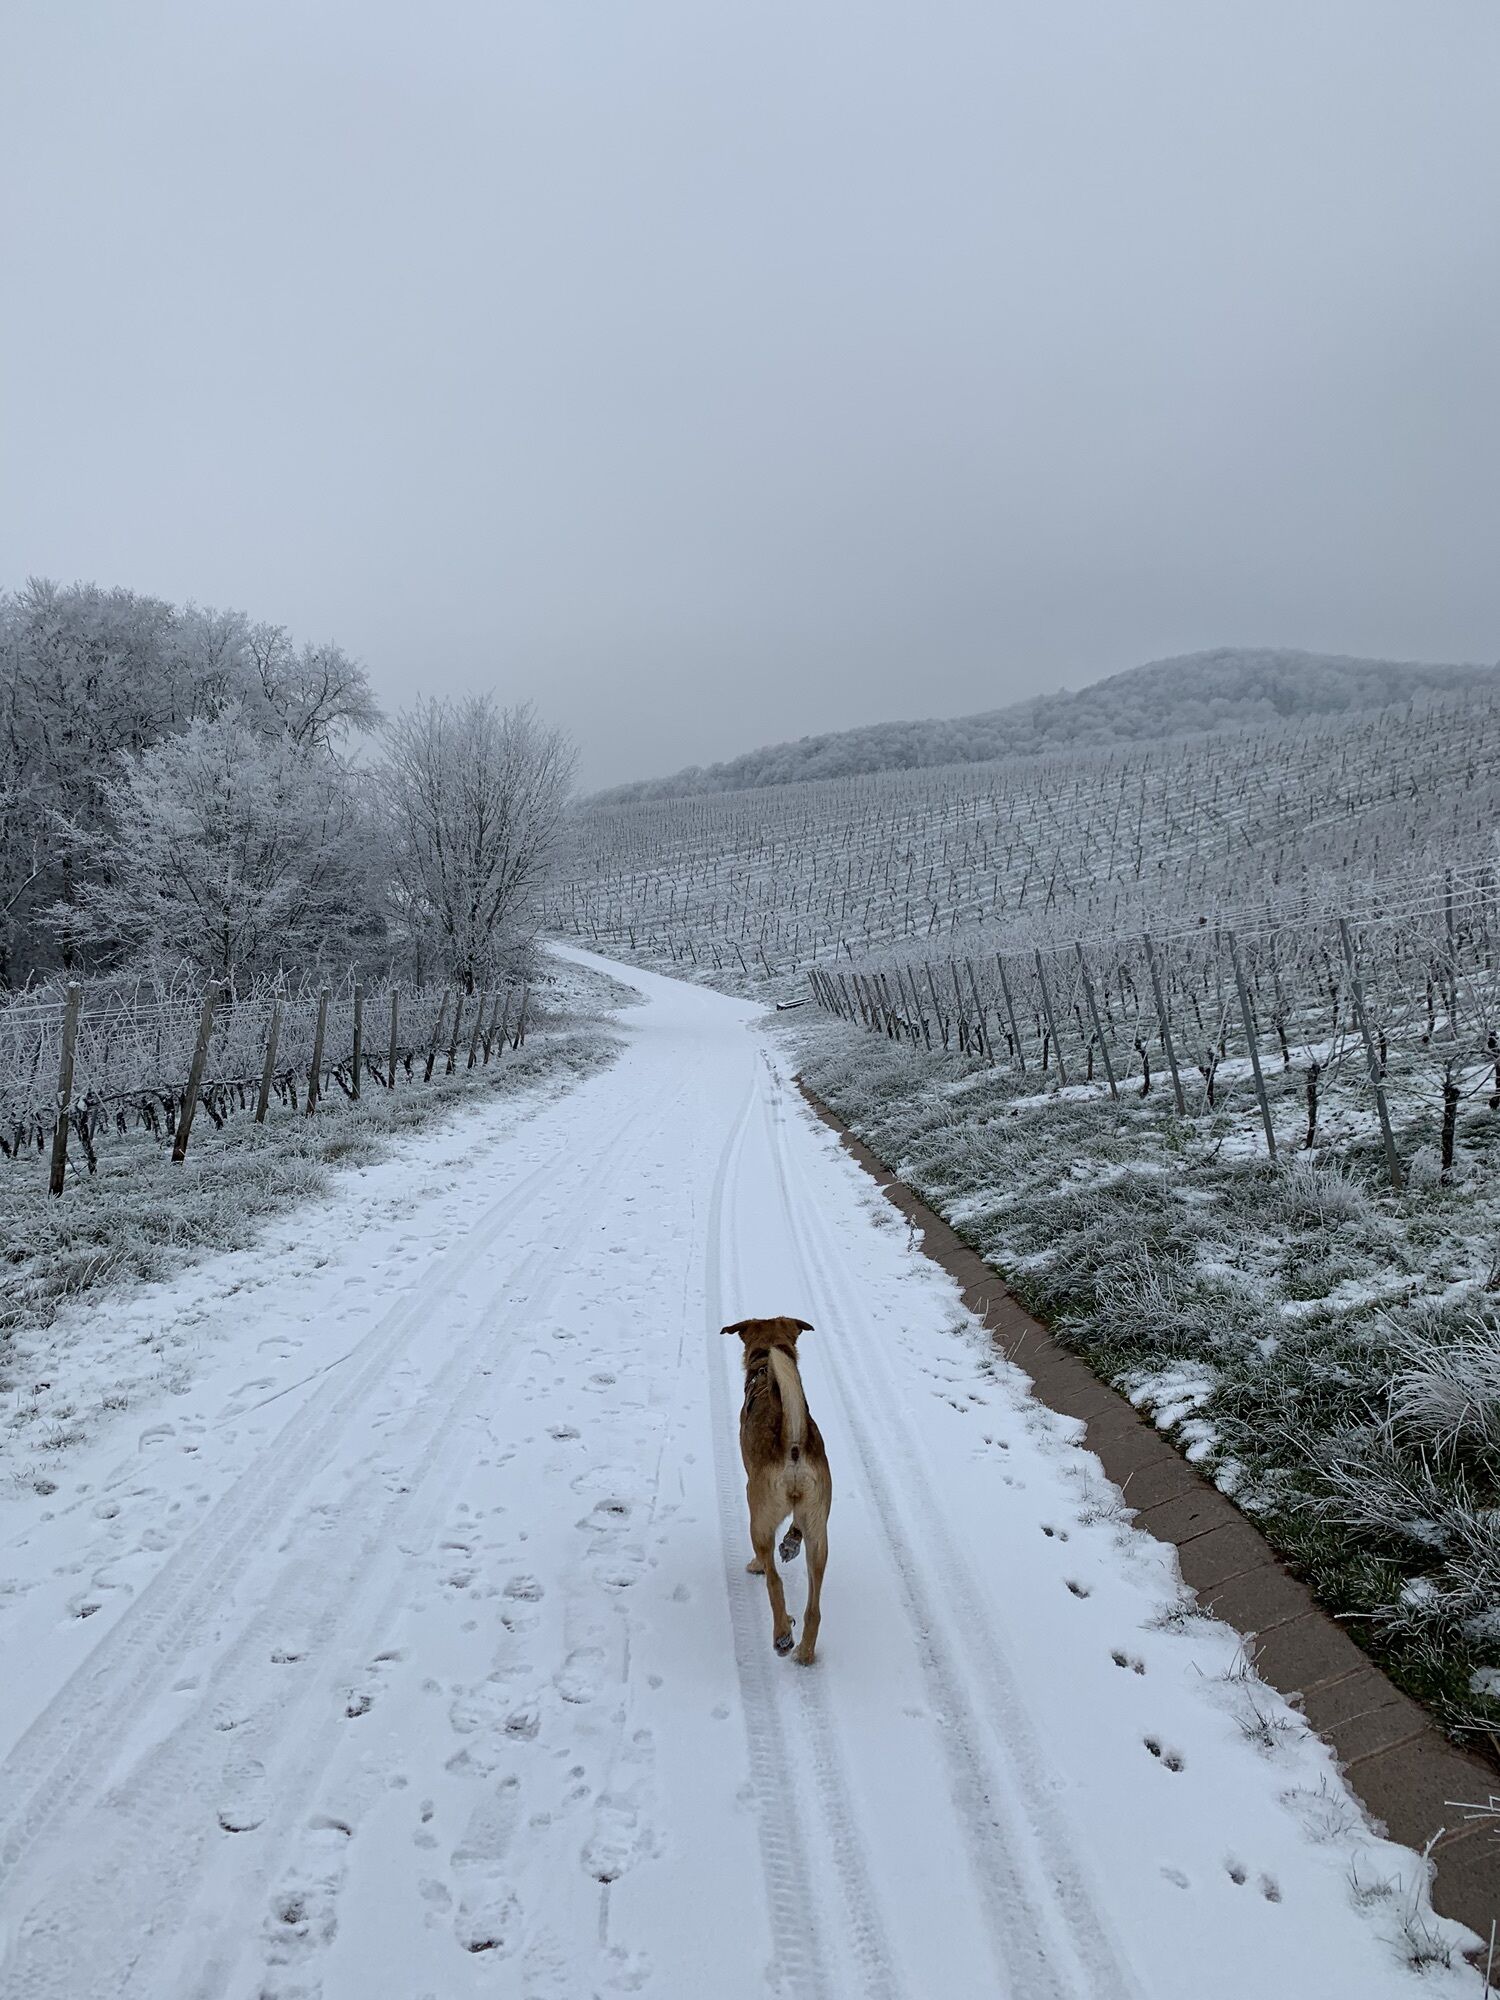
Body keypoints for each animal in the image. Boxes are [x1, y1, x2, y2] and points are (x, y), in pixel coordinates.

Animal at [721, 1317, 831, 1665]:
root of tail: (793, 1445)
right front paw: (790, 1543)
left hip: (758, 1513)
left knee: (773, 1580)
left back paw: (782, 1635)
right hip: (819, 1530)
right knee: (814, 1609)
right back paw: (805, 1653)